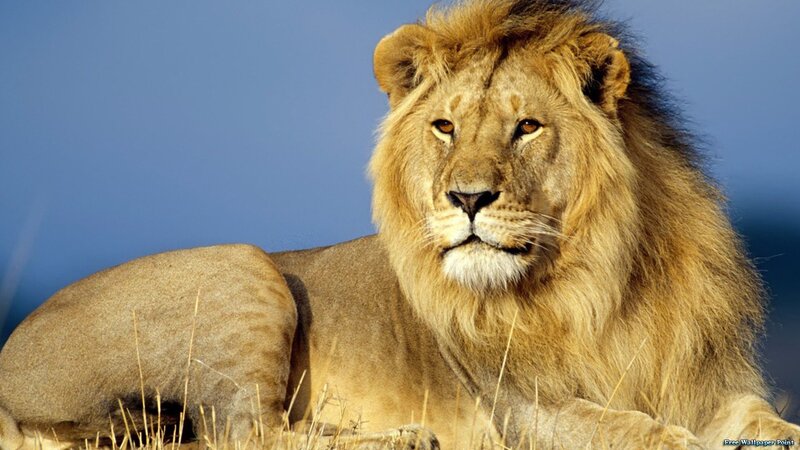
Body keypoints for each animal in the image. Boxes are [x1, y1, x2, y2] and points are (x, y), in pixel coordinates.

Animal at [1, 0, 798, 449]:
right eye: (445, 127)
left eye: (527, 127)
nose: (467, 198)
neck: (603, 280)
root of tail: (11, 360)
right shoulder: (522, 410)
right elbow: (635, 429)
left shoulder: (710, 386)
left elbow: (762, 421)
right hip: (243, 266)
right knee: (243, 435)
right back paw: (404, 439)